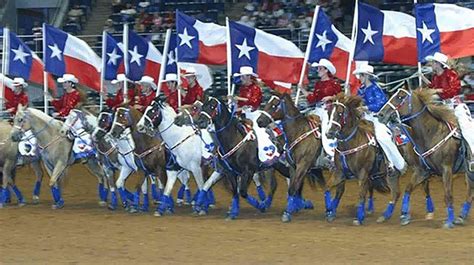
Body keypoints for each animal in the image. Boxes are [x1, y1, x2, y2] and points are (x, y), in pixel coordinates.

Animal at [258, 93, 332, 221]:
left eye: (274, 105)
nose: (259, 120)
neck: (299, 132)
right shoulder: (295, 167)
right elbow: (293, 189)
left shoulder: (302, 166)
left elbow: (294, 188)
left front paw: (287, 213)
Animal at [326, 94, 404, 224]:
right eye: (328, 113)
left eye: (340, 113)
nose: (329, 133)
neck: (351, 143)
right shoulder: (340, 173)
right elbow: (331, 189)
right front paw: (330, 211)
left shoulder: (362, 173)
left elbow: (361, 194)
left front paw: (359, 217)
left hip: (394, 174)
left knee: (396, 193)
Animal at [376, 87, 472, 227]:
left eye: (400, 97)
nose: (381, 114)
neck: (432, 134)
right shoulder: (422, 171)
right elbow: (409, 189)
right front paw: (404, 215)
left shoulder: (446, 169)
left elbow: (447, 195)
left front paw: (449, 221)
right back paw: (461, 217)